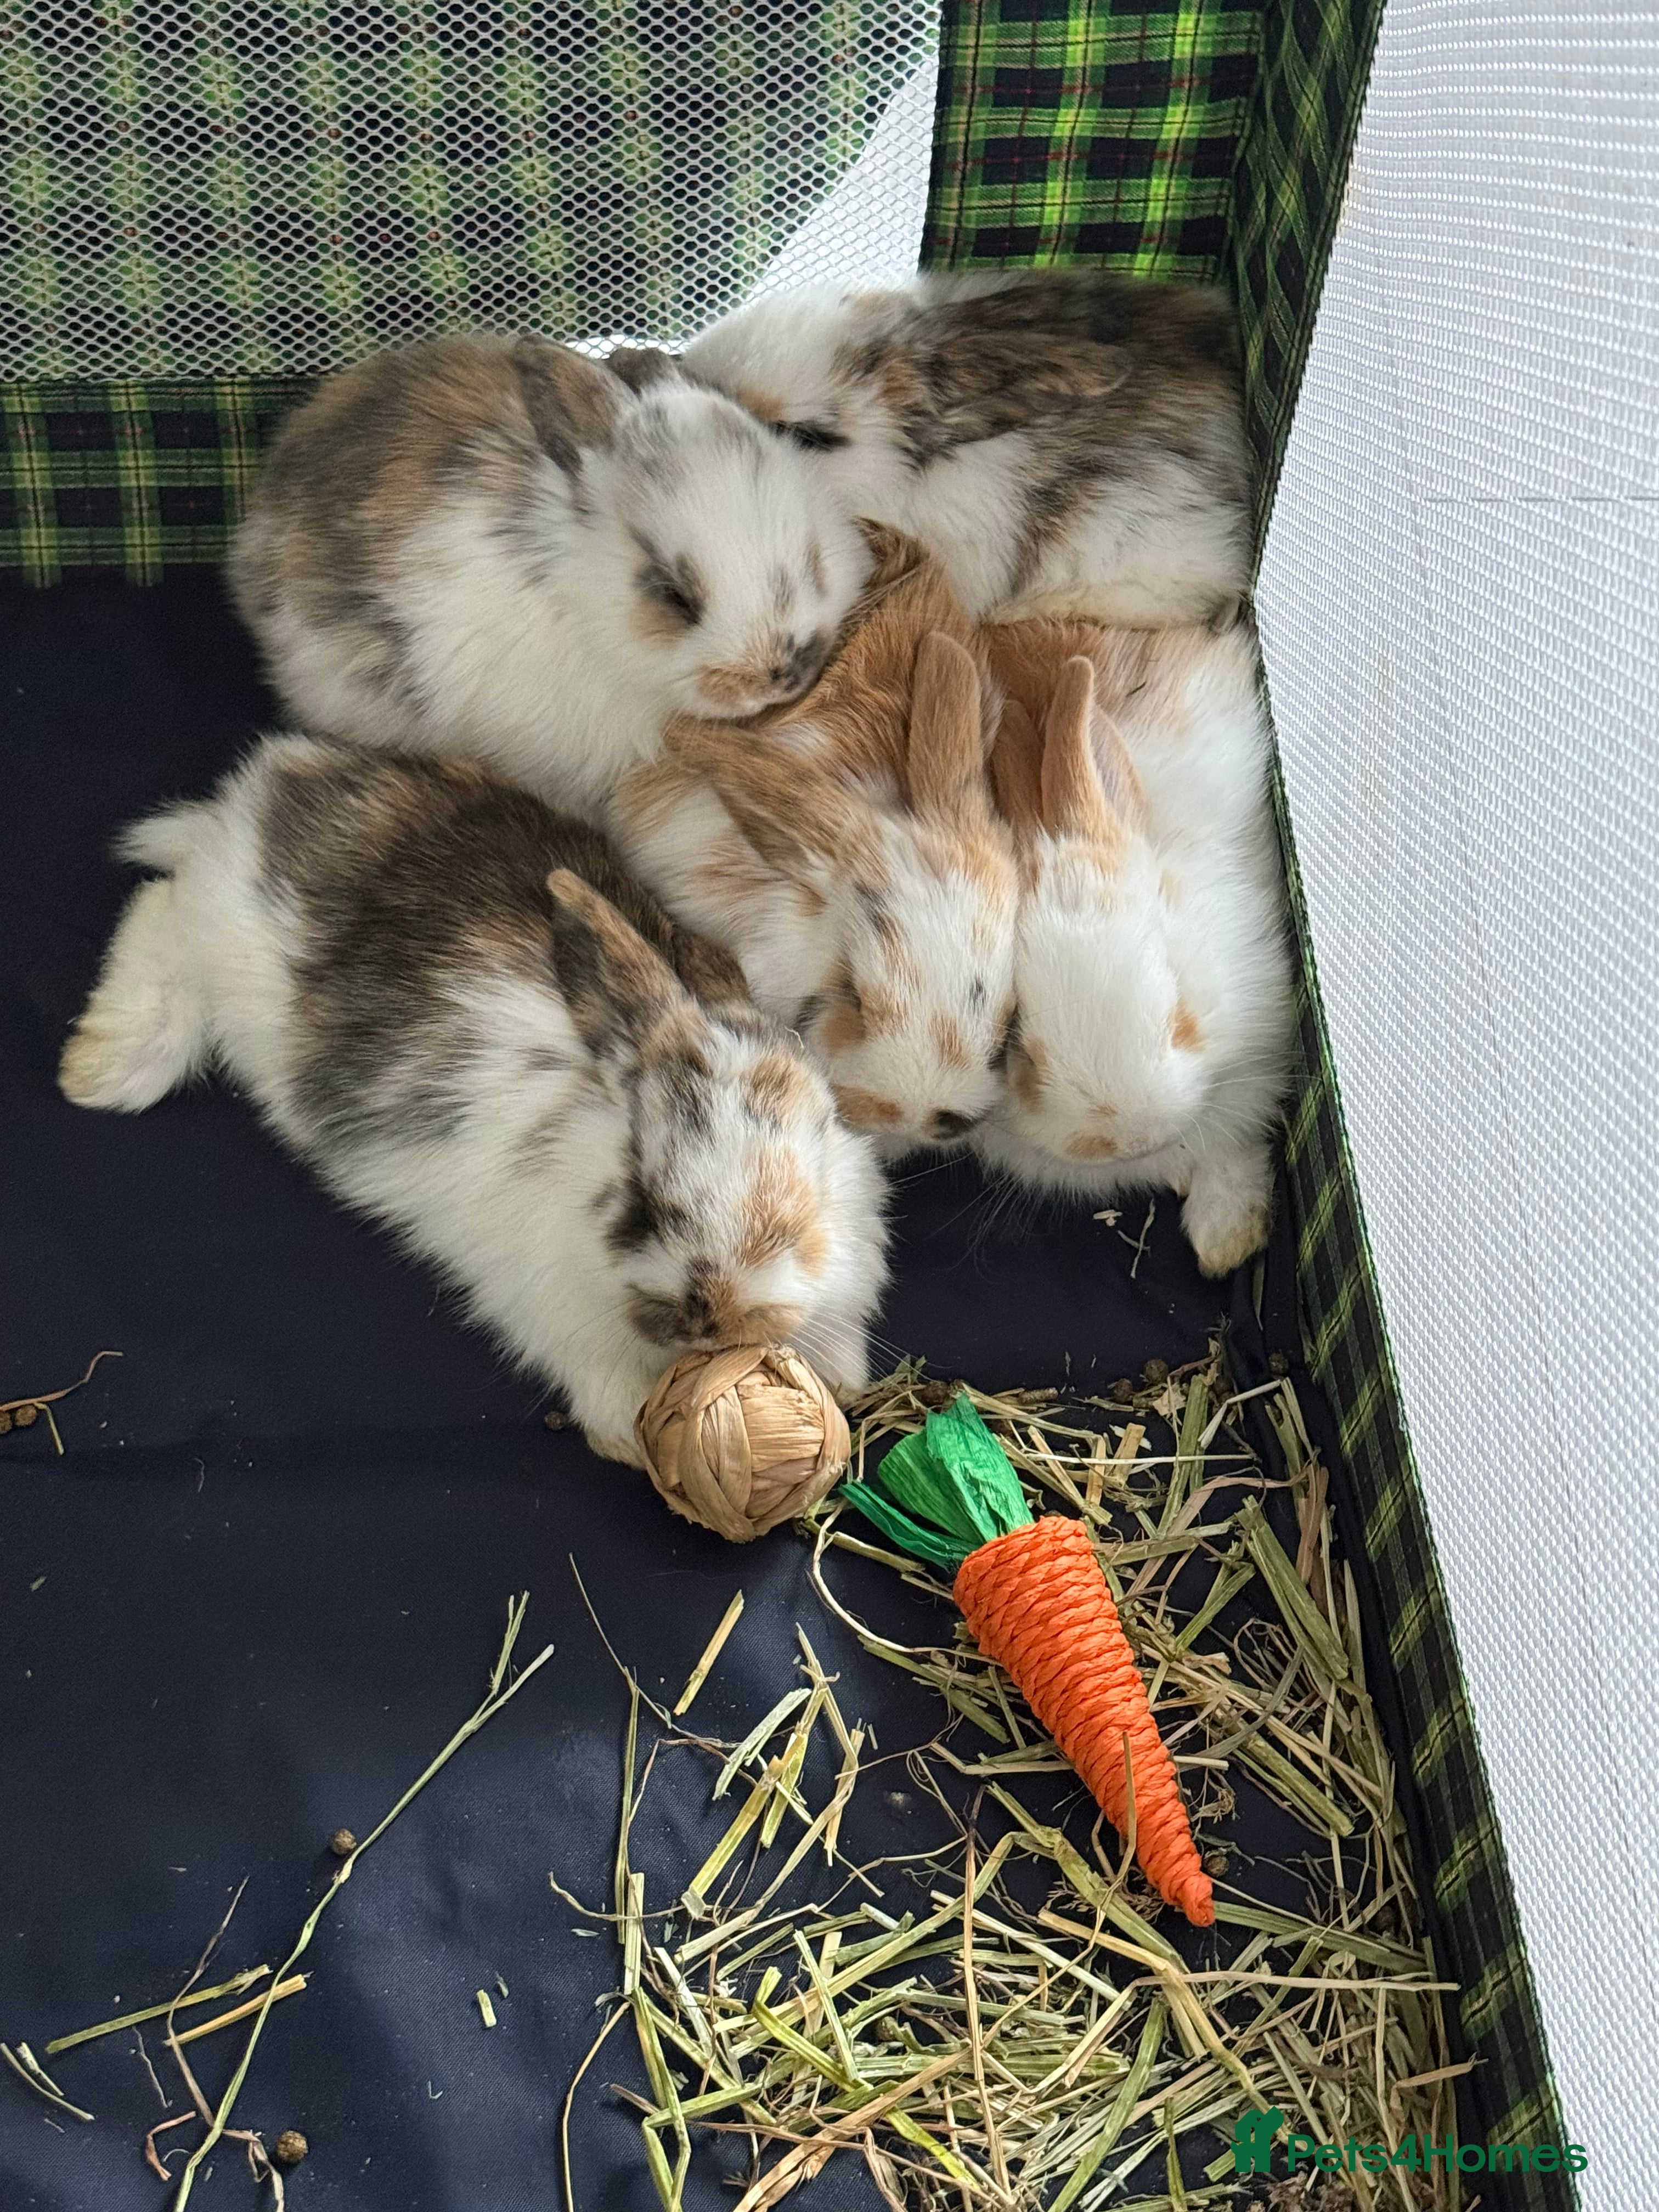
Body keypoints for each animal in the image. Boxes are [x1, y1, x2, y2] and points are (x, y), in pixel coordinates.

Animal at [58, 739, 888, 1463]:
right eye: (645, 1201)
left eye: (806, 1202)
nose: (715, 1315)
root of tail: (271, 788)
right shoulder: (551, 1311)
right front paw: (627, 1436)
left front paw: (842, 1381)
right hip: (225, 940)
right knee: (159, 903)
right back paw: (106, 1072)